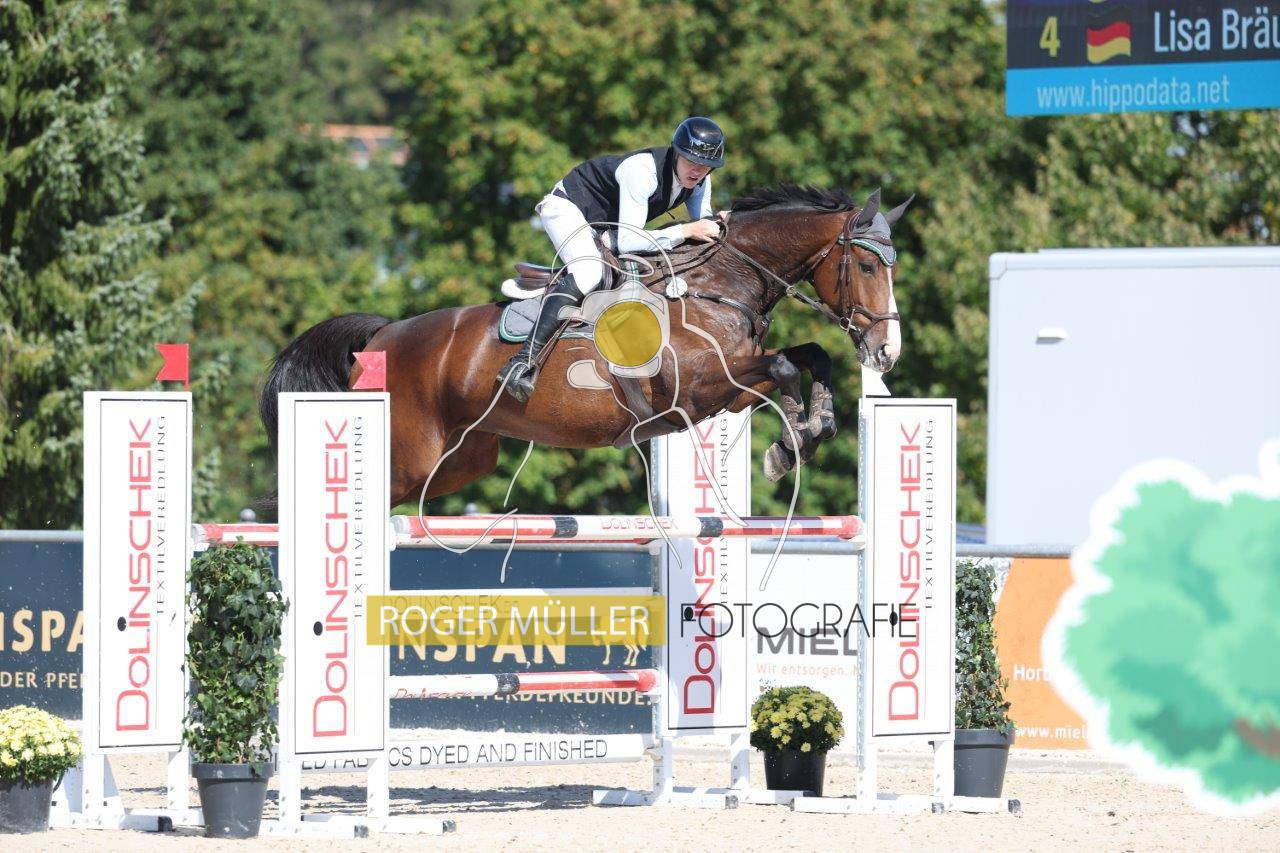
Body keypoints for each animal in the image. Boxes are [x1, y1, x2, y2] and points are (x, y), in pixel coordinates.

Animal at [260, 185, 911, 508]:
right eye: (864, 265)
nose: (886, 353)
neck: (716, 284)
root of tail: (382, 335)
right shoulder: (695, 388)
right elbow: (784, 365)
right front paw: (793, 440)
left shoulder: (727, 396)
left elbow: (809, 356)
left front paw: (811, 431)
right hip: (413, 455)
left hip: (459, 461)